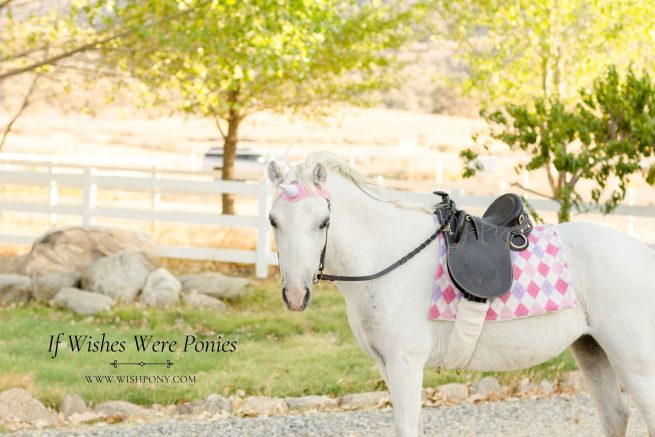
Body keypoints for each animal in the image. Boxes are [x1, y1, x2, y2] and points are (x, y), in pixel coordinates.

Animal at [266, 152, 655, 437]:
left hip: (634, 362)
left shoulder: (405, 365)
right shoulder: (390, 367)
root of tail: (643, 253)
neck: (387, 255)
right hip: (592, 350)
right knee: (615, 416)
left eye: (323, 222)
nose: (295, 295)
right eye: (273, 220)